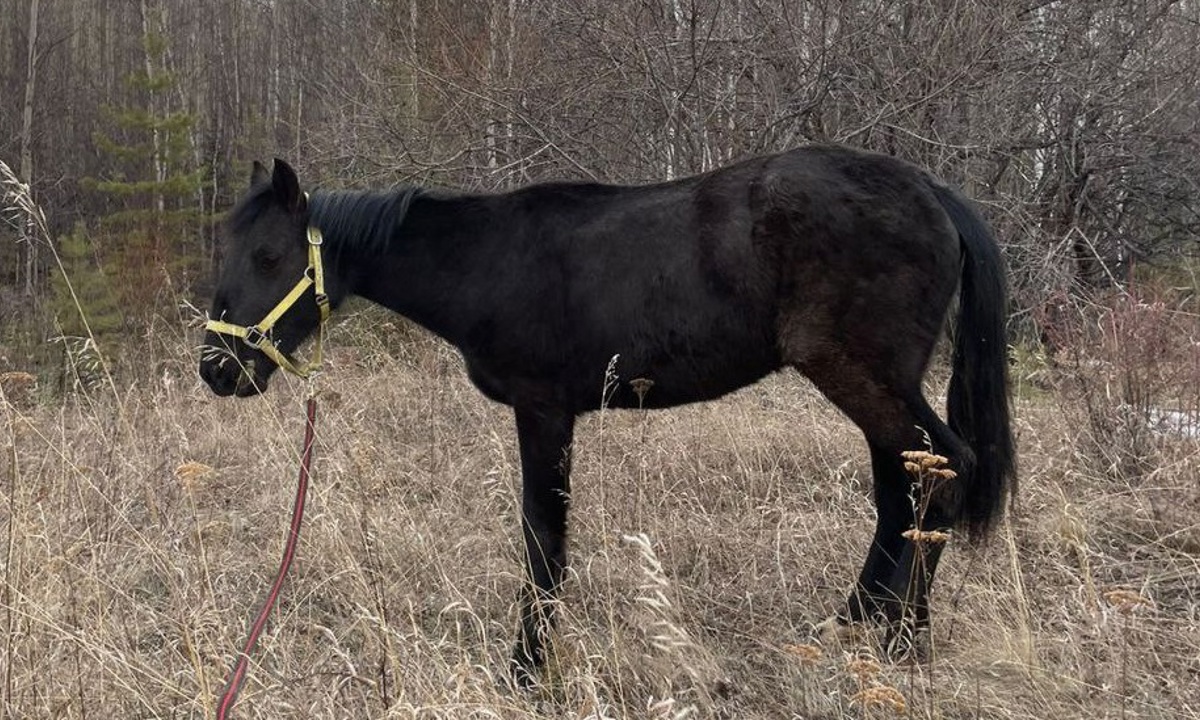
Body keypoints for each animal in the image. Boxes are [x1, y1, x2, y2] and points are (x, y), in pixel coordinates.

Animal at [201, 144, 1017, 681]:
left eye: (269, 256)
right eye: (227, 249)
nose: (217, 368)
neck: (487, 262)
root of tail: (930, 190)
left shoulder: (543, 412)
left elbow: (543, 537)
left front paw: (528, 668)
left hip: (862, 378)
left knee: (943, 471)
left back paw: (904, 641)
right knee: (902, 486)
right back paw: (858, 623)